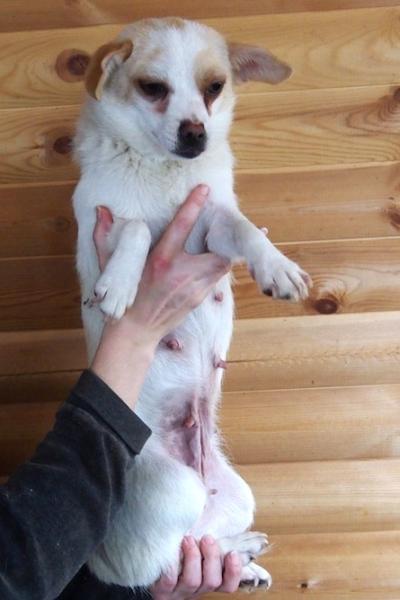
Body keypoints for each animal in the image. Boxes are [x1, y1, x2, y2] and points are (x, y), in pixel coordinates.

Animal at [73, 17, 311, 590]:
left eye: (215, 87)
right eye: (152, 88)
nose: (196, 134)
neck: (163, 173)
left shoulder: (211, 231)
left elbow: (241, 225)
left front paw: (276, 265)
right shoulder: (100, 224)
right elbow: (137, 226)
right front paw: (120, 284)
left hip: (235, 495)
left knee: (190, 548)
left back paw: (240, 557)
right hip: (174, 487)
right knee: (161, 565)